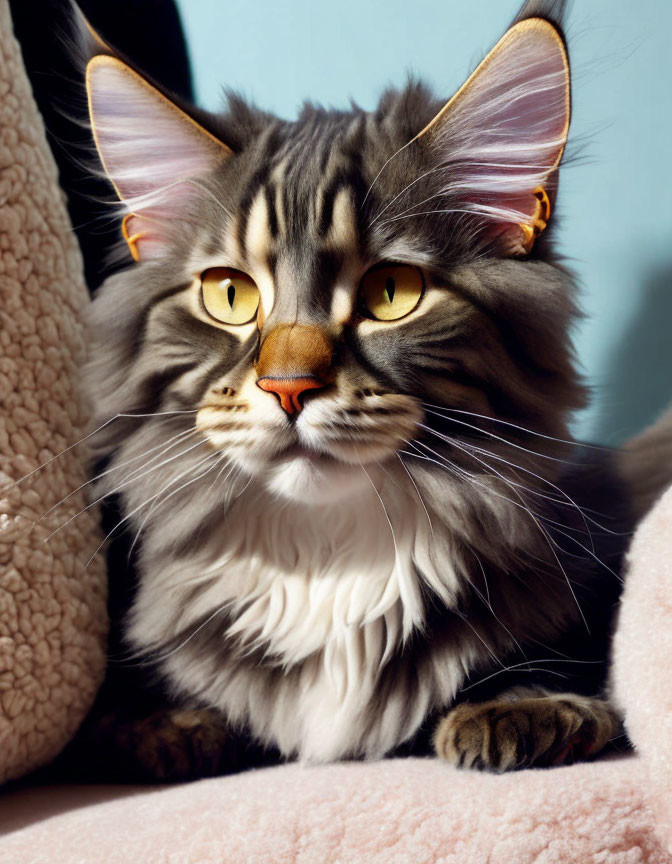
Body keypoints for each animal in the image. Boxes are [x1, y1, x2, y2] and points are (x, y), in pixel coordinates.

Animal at [65, 0, 644, 780]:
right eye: (229, 295)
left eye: (391, 293)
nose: (287, 386)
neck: (330, 556)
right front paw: (166, 727)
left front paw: (525, 709)